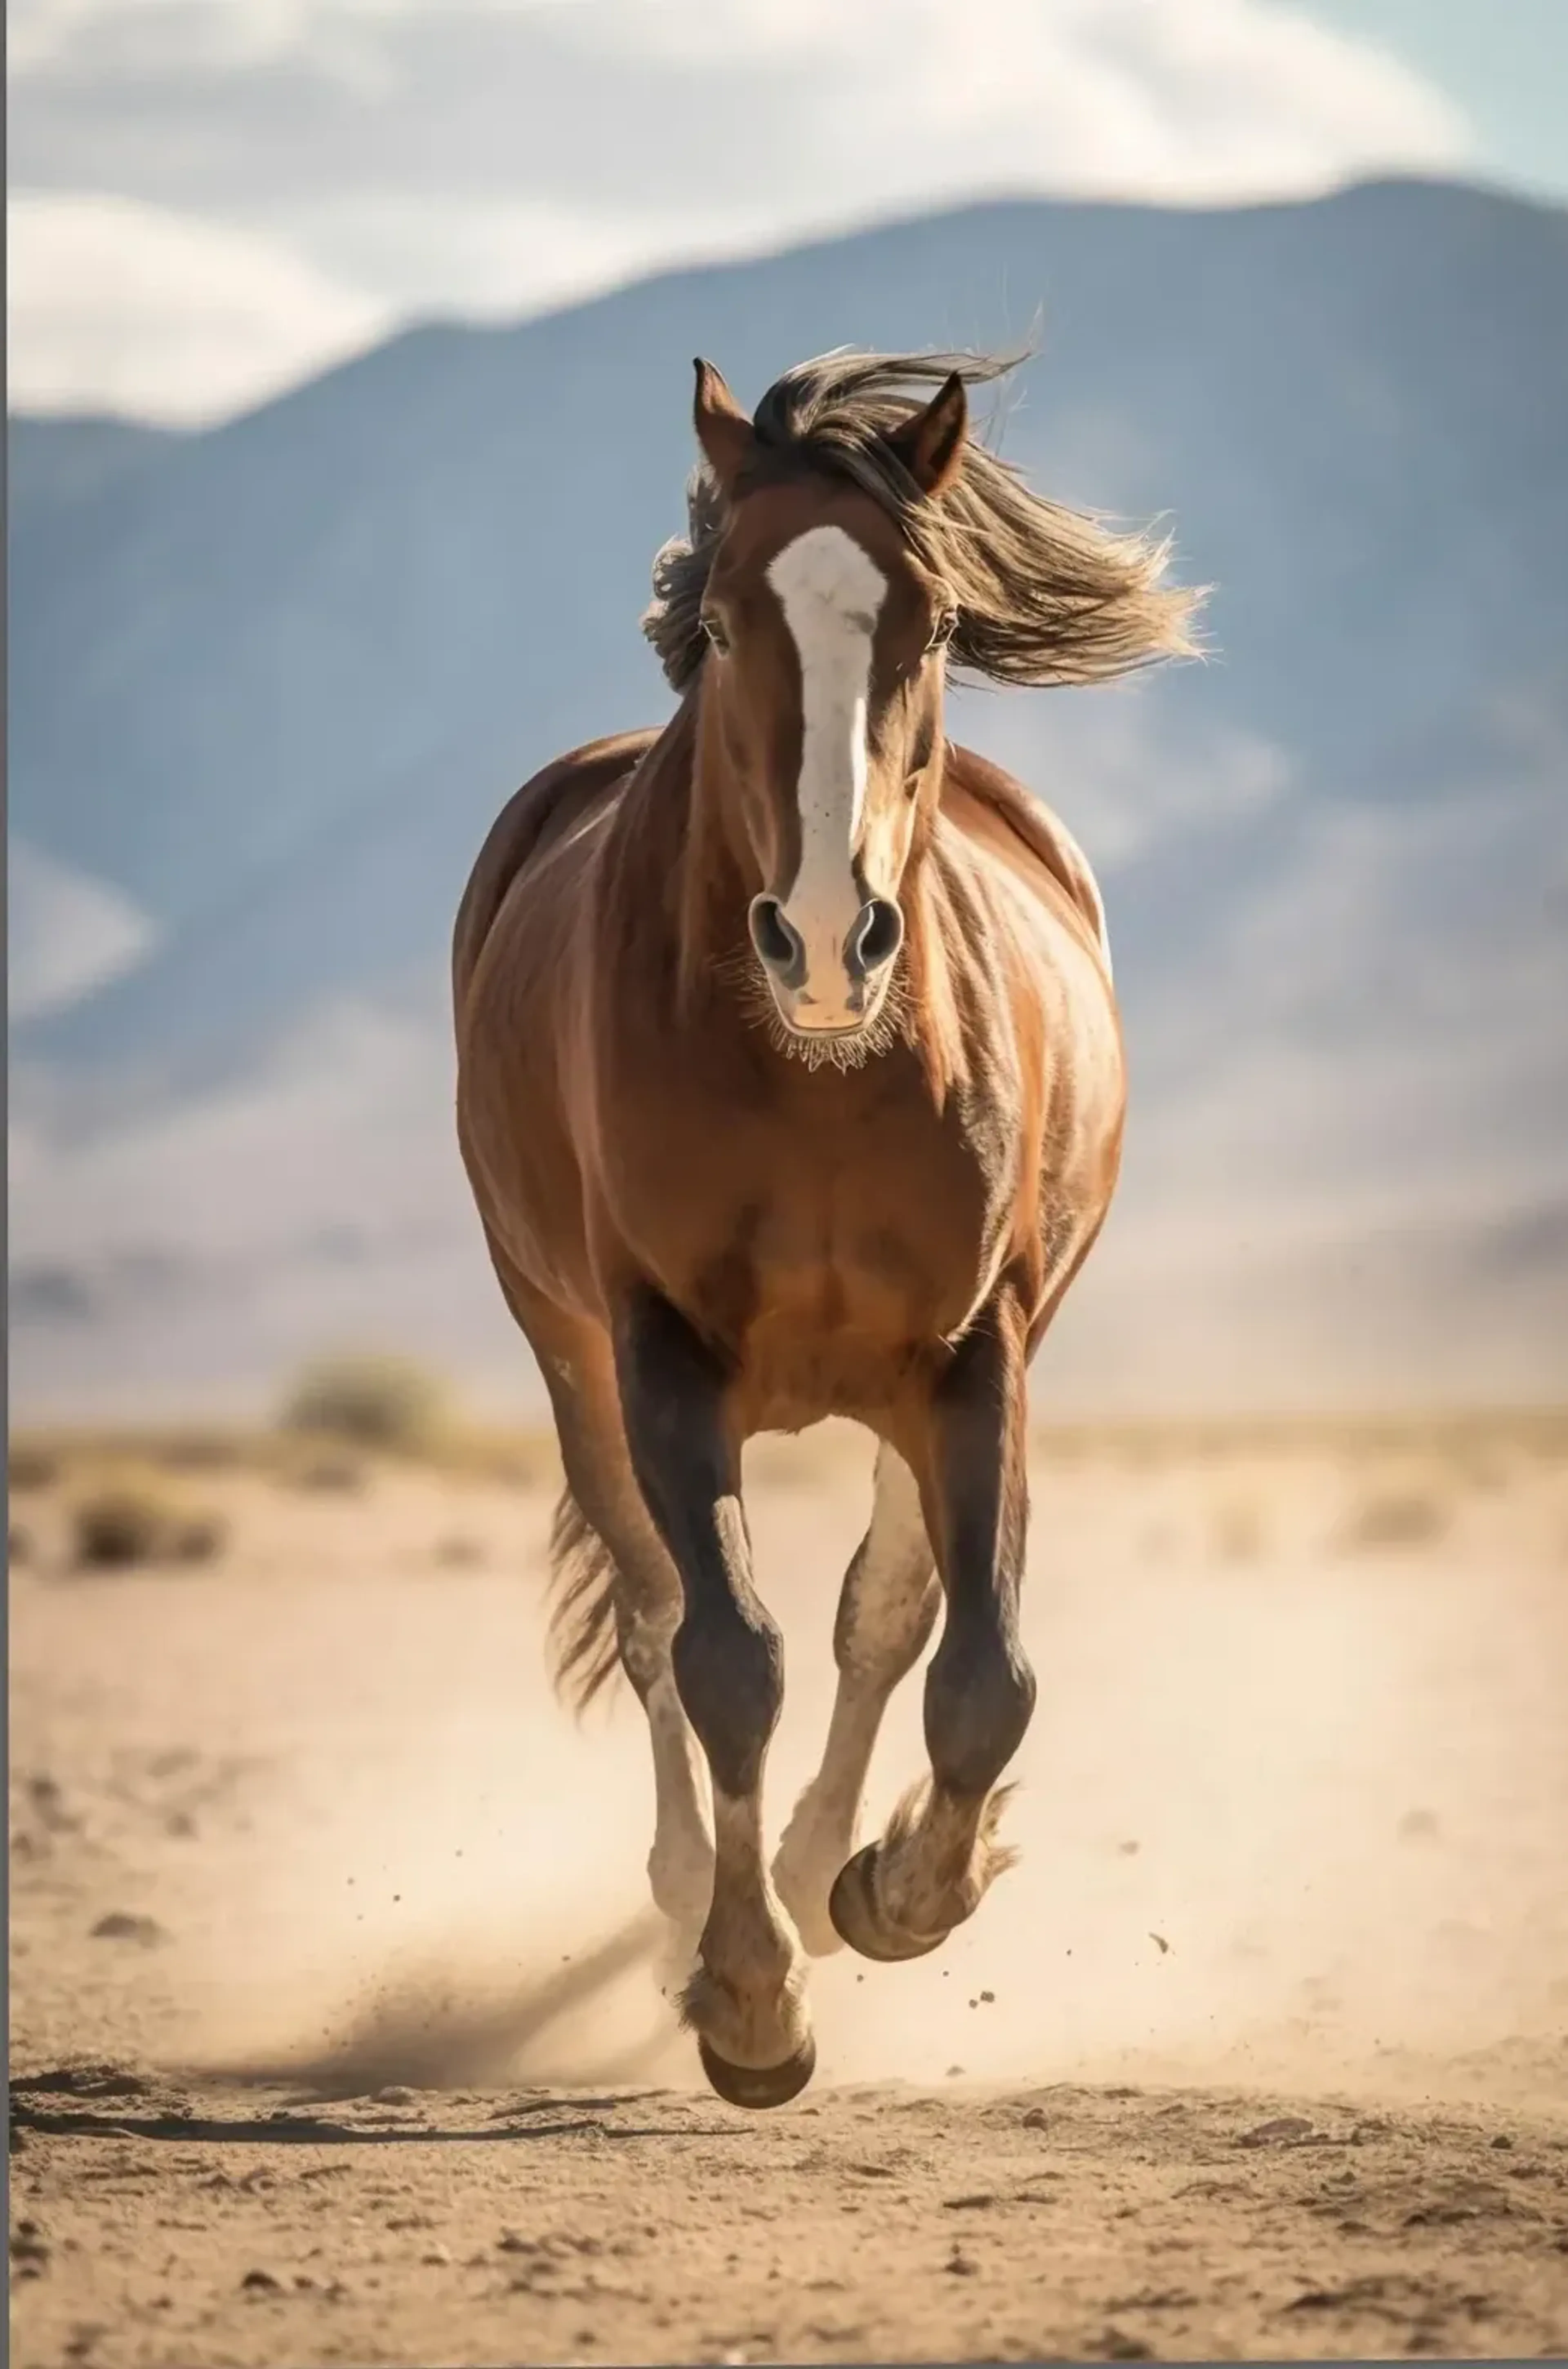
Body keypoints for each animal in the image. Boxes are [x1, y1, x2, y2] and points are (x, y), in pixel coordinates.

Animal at [452, 347, 1199, 2109]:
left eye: (928, 625)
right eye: (728, 623)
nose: (823, 942)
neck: (815, 1075)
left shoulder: (976, 1351)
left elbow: (977, 1669)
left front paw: (893, 1889)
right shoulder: (658, 1350)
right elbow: (726, 1650)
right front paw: (748, 1994)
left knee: (884, 1613)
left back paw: (812, 1864)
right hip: (563, 1344)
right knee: (655, 1614)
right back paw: (693, 1902)